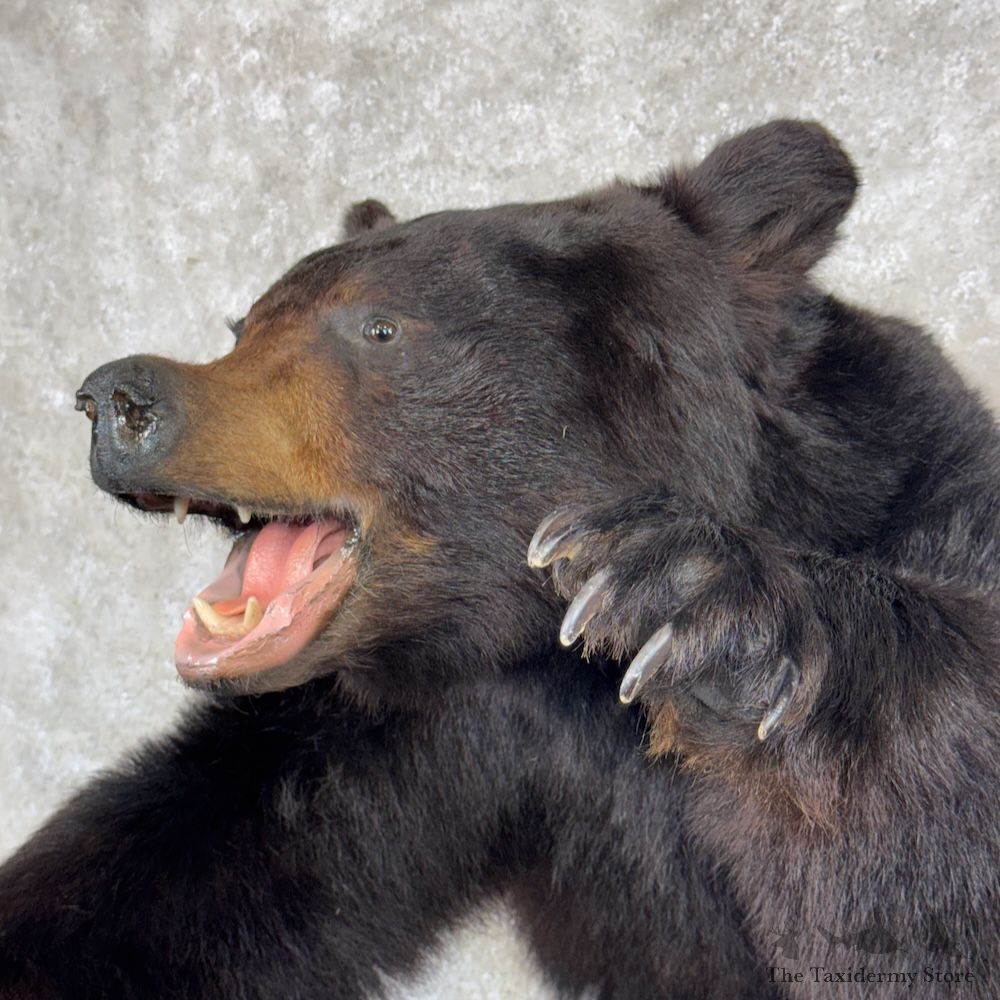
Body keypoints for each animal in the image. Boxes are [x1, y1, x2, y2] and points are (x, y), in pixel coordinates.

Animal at [1, 119, 998, 999]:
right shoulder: (404, 737)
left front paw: (700, 611)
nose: (121, 400)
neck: (537, 649)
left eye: (378, 328)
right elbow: (165, 870)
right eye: (244, 322)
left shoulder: (922, 497)